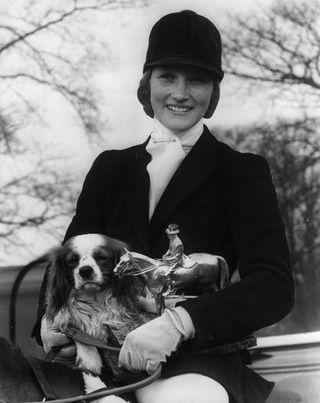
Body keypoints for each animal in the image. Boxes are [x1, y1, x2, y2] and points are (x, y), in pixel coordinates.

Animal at [44, 235, 153, 402]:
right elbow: (79, 331)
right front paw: (90, 359)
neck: (95, 300)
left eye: (102, 257)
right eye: (72, 260)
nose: (85, 270)